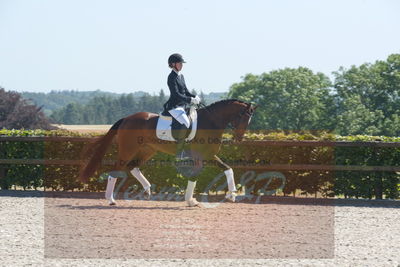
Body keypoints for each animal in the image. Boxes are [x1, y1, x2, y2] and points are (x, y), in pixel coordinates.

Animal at [79, 99, 258, 206]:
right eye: (243, 117)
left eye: (249, 120)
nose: (239, 139)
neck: (210, 122)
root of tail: (126, 119)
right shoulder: (200, 157)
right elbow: (194, 176)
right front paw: (190, 200)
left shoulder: (209, 156)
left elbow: (228, 169)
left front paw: (232, 195)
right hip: (128, 150)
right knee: (115, 170)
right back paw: (110, 199)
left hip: (147, 150)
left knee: (133, 167)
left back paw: (147, 190)